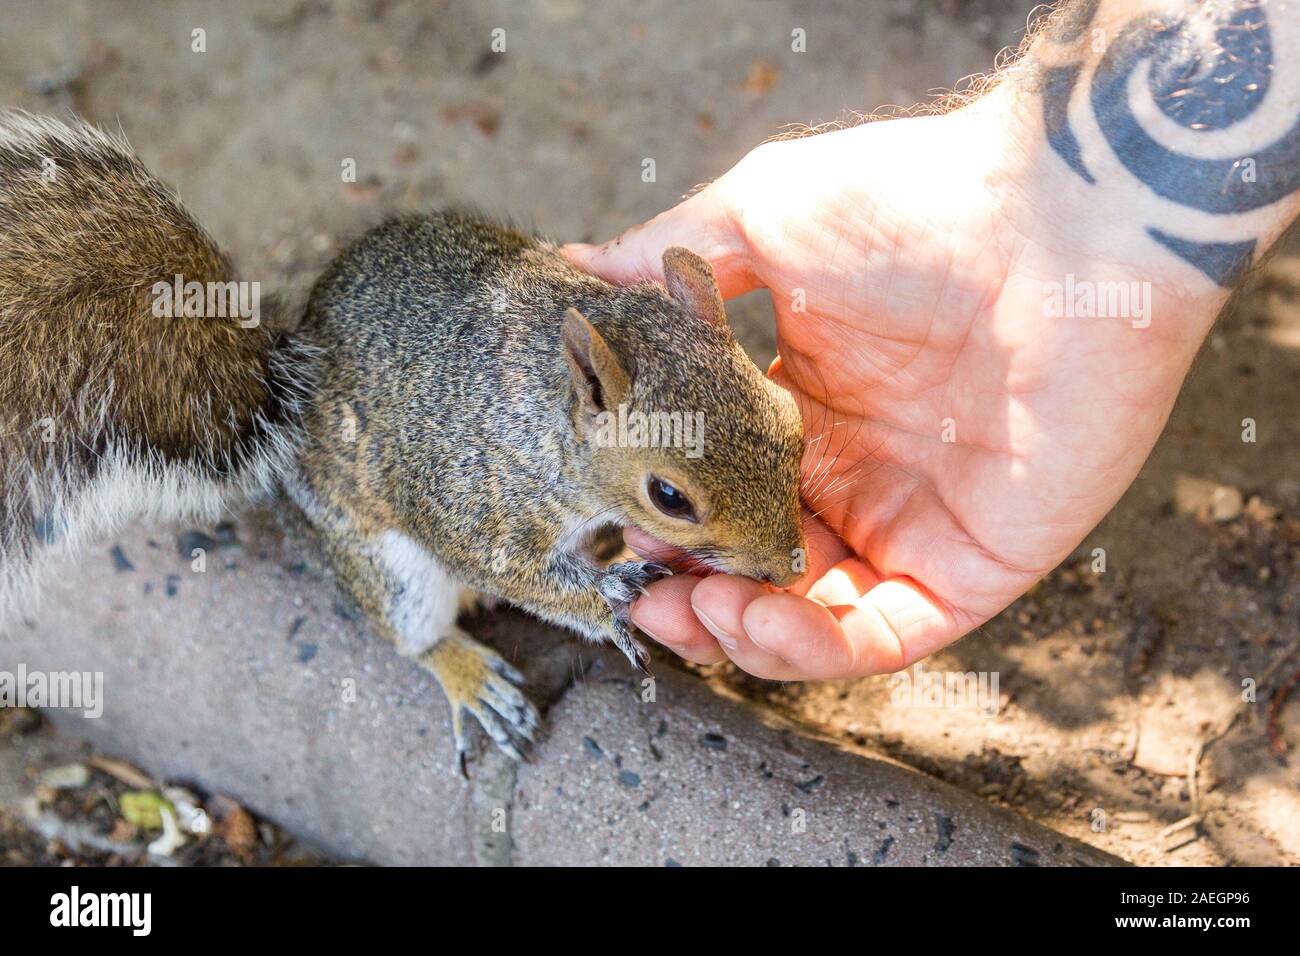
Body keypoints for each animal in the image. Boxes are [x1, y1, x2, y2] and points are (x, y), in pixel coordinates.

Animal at [0, 110, 806, 770]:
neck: (545, 421)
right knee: (408, 628)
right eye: (669, 495)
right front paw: (605, 597)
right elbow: (509, 572)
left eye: (791, 417)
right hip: (381, 564)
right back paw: (472, 677)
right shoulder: (462, 494)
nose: (787, 570)